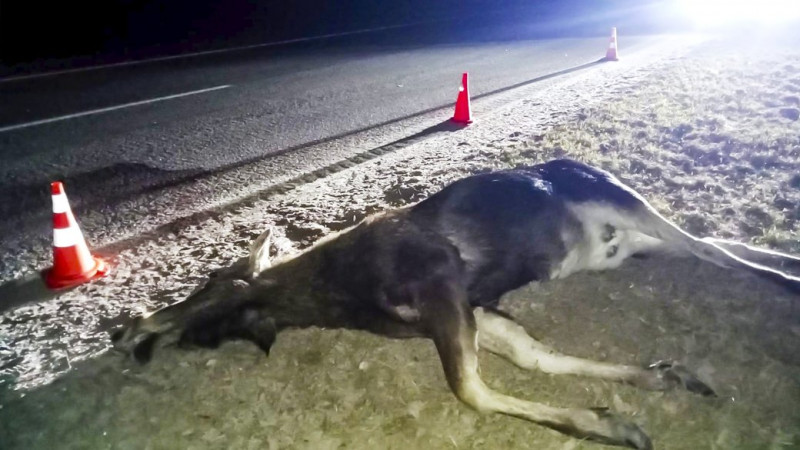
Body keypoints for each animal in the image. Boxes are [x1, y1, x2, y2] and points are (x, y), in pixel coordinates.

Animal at [112, 159, 800, 449]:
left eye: (207, 285)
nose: (126, 333)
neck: (333, 294)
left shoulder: (441, 280)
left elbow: (469, 388)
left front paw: (609, 422)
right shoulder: (470, 307)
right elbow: (533, 358)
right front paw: (643, 385)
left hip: (617, 198)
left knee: (714, 251)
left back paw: (783, 280)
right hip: (625, 246)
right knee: (713, 243)